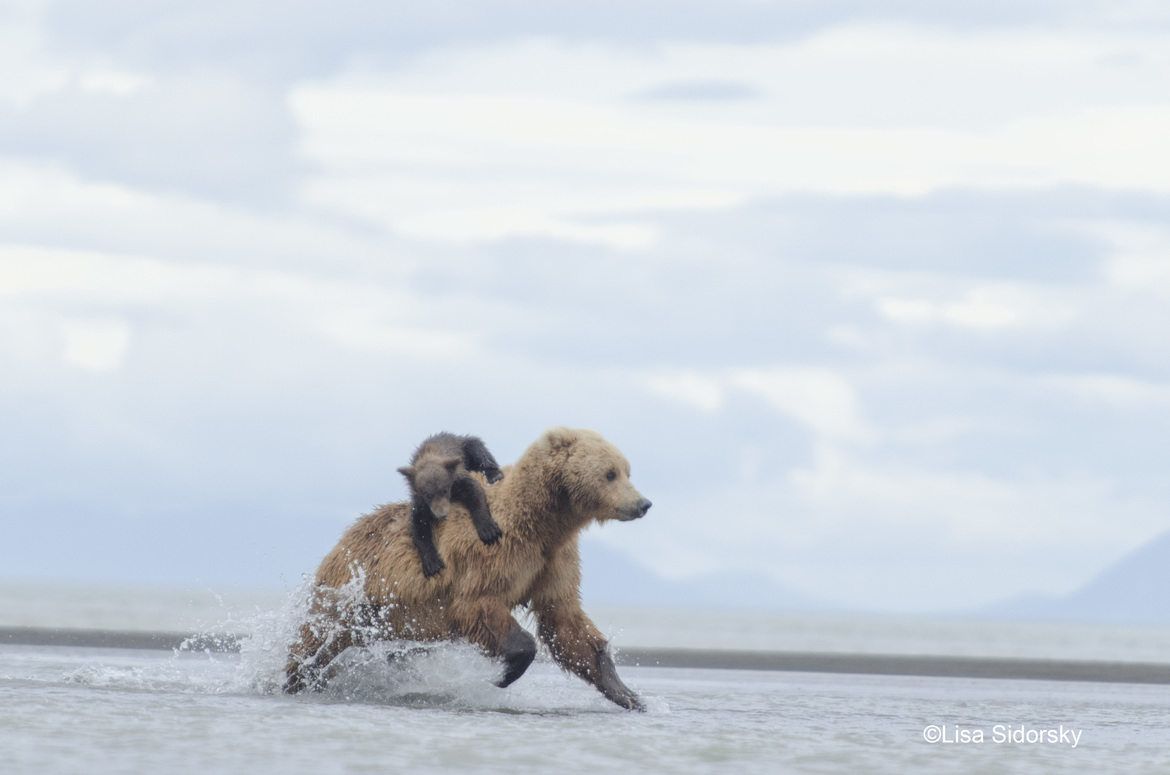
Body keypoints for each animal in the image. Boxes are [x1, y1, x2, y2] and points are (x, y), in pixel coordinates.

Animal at [397, 432, 504, 578]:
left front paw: (488, 531)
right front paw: (432, 564)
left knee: (479, 451)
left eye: (444, 490)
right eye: (428, 494)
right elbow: (417, 527)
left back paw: (494, 475)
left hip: (466, 447)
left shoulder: (458, 478)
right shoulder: (419, 503)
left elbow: (474, 492)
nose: (442, 514)